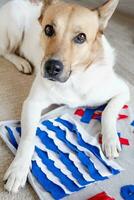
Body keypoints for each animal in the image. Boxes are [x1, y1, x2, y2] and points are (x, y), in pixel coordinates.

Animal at [2, 0, 130, 195]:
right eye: (48, 29)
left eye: (81, 37)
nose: (51, 67)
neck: (74, 79)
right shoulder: (32, 104)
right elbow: (28, 139)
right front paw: (18, 169)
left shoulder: (124, 90)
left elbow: (108, 112)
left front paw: (110, 139)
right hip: (14, 29)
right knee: (5, 51)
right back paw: (21, 62)